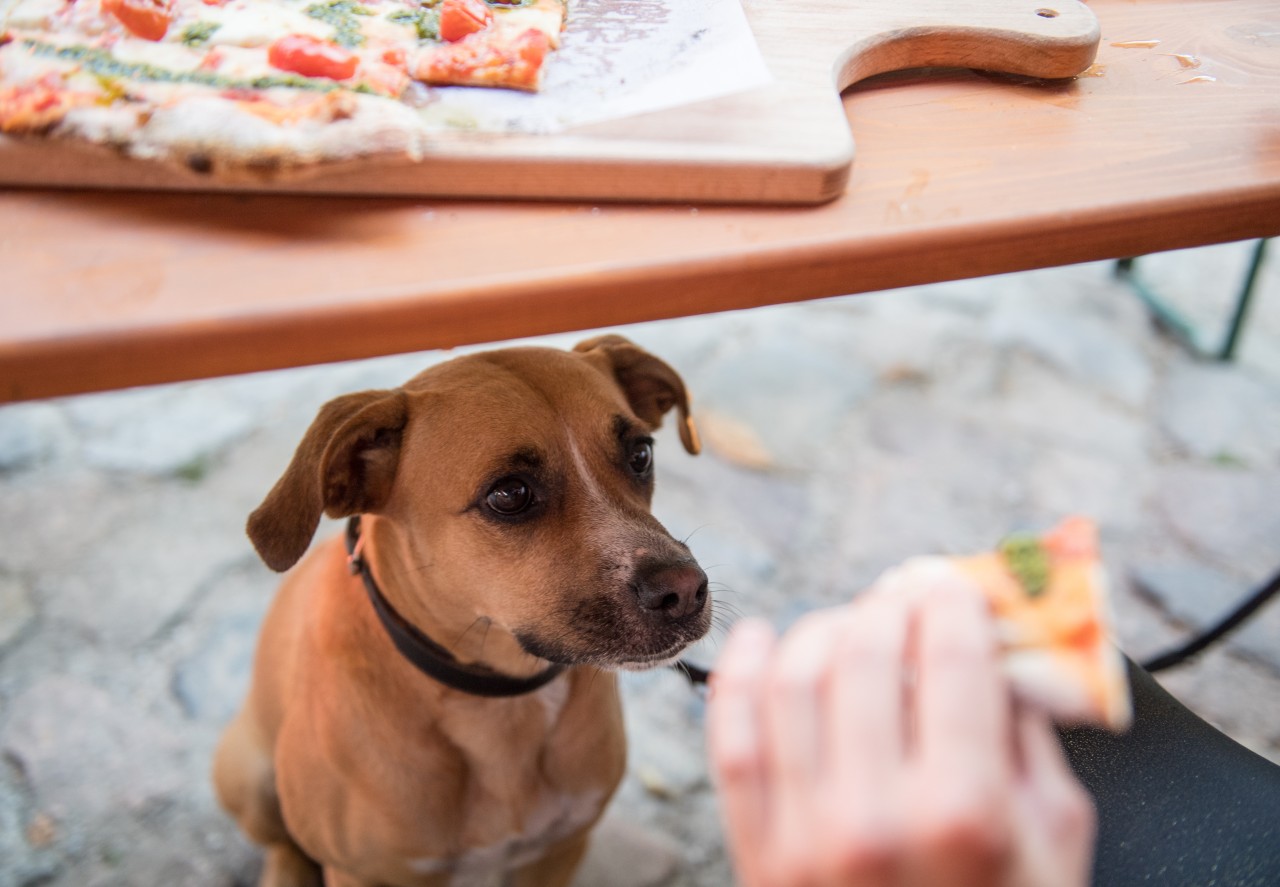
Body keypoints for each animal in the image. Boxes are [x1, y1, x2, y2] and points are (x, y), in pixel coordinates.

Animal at [211, 332, 711, 885]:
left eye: (640, 454)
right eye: (509, 493)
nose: (685, 590)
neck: (499, 704)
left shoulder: (559, 850)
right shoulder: (360, 873)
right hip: (250, 777)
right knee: (281, 844)